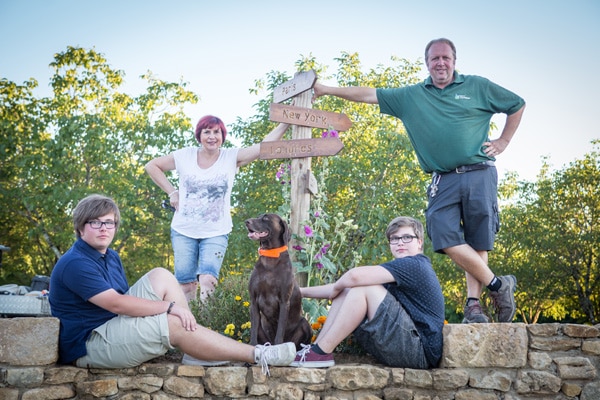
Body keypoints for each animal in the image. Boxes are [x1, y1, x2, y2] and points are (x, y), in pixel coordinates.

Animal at [245, 212, 312, 350]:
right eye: (258, 216)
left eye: (265, 218)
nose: (246, 222)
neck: (270, 256)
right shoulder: (253, 301)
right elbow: (253, 332)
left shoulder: (284, 302)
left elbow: (280, 331)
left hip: (305, 324)